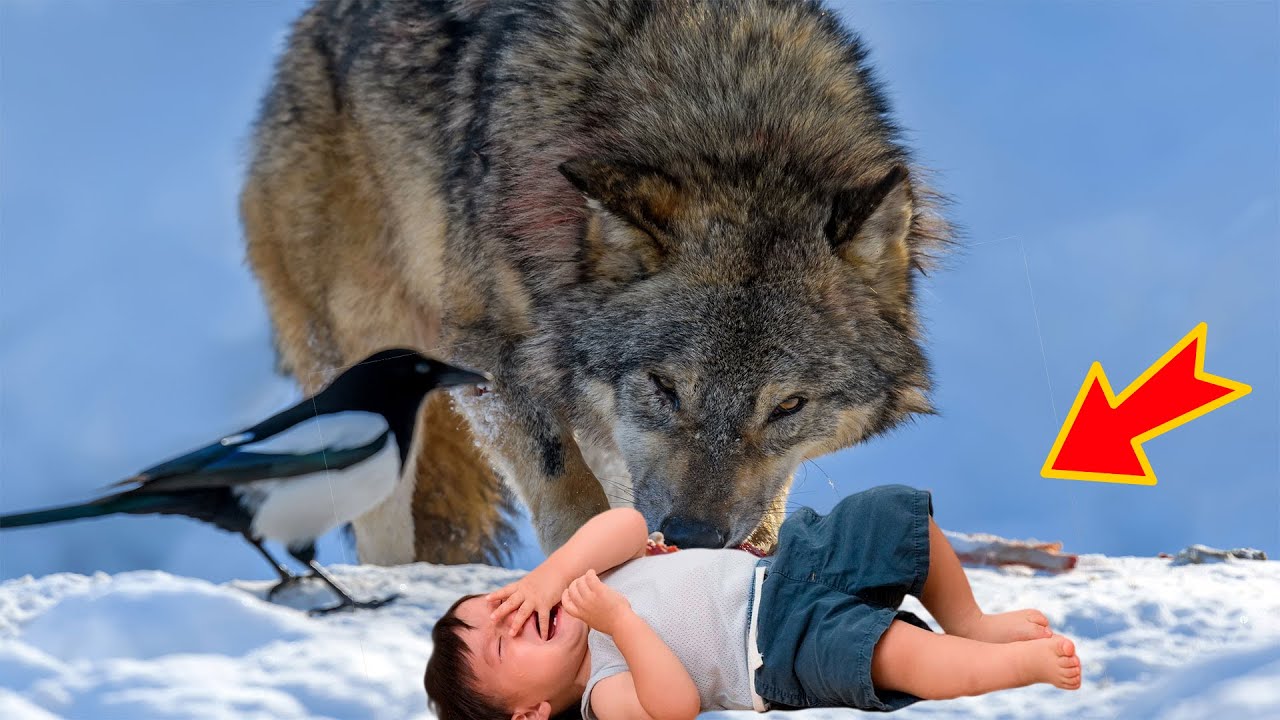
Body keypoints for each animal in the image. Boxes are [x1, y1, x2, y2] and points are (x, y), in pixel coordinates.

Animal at [241, 0, 953, 565]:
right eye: (665, 387)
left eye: (789, 406)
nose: (693, 535)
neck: (737, 130)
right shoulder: (487, 357)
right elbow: (571, 494)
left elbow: (767, 499)